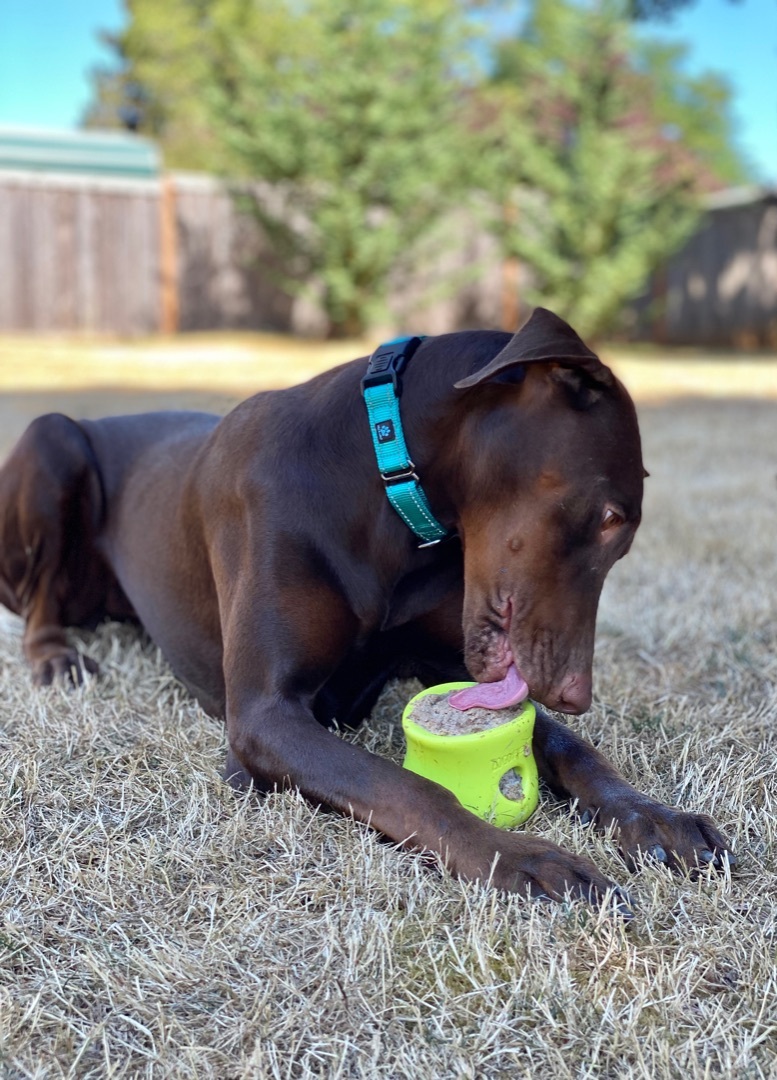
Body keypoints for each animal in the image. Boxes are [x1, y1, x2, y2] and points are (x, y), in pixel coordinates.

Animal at [0, 308, 730, 907]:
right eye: (610, 518)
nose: (576, 692)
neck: (390, 495)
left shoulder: (449, 662)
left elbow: (573, 749)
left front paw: (652, 815)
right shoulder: (263, 716)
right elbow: (407, 786)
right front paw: (522, 858)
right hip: (54, 441)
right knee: (39, 599)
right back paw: (55, 658)